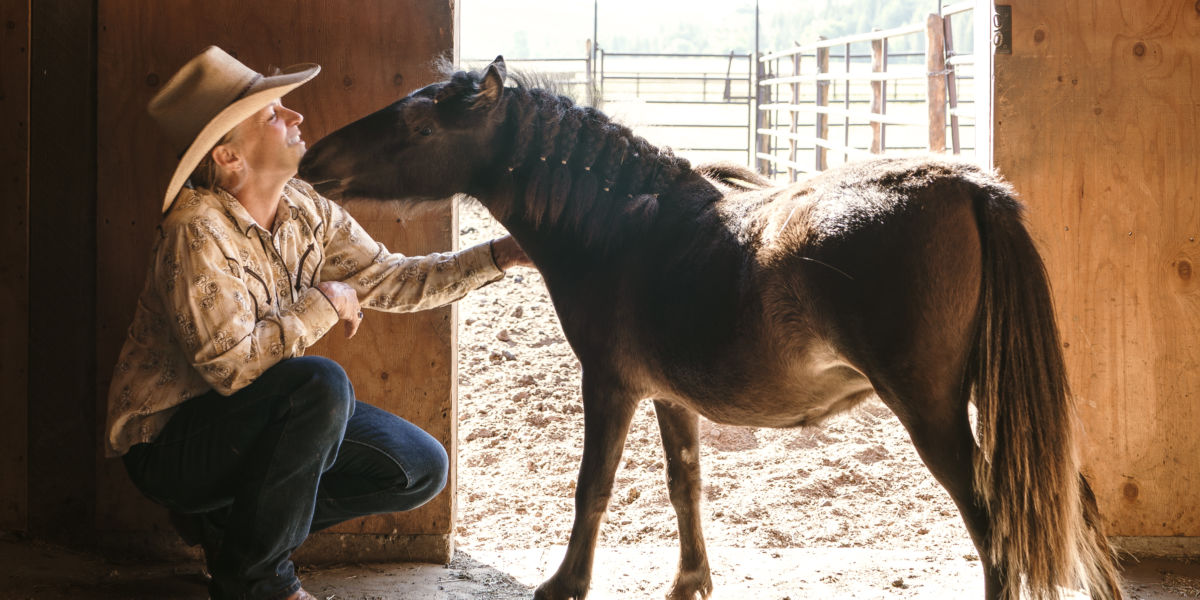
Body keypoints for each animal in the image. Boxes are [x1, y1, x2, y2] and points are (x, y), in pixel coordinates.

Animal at [300, 57, 1123, 600]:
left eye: (417, 121)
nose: (311, 156)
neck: (623, 228)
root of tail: (965, 186)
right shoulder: (670, 397)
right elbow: (684, 484)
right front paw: (689, 580)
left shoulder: (611, 385)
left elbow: (593, 488)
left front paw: (564, 584)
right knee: (1065, 506)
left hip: (933, 409)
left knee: (996, 526)